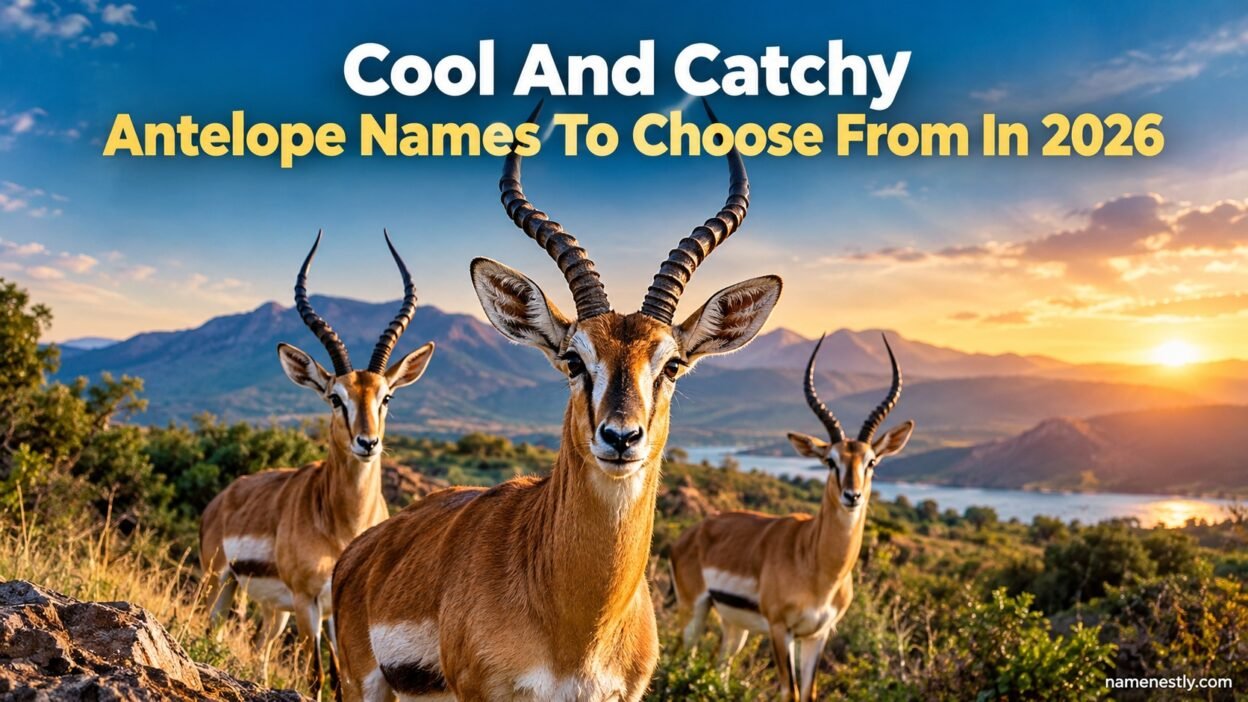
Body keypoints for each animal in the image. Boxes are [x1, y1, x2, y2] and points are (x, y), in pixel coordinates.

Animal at [199, 231, 435, 696]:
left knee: (264, 645)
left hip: (274, 610)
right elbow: (318, 676)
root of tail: (222, 497)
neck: (342, 525)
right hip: (220, 584)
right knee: (211, 629)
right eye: (334, 398)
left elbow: (341, 680)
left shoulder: (334, 613)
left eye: (386, 396)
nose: (367, 442)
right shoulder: (308, 602)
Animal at [668, 333, 914, 702]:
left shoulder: (817, 634)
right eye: (830, 461)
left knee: (720, 664)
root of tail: (691, 534)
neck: (817, 568)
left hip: (734, 625)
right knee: (679, 660)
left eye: (871, 461)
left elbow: (809, 692)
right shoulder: (779, 629)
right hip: (693, 611)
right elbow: (791, 692)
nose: (852, 496)